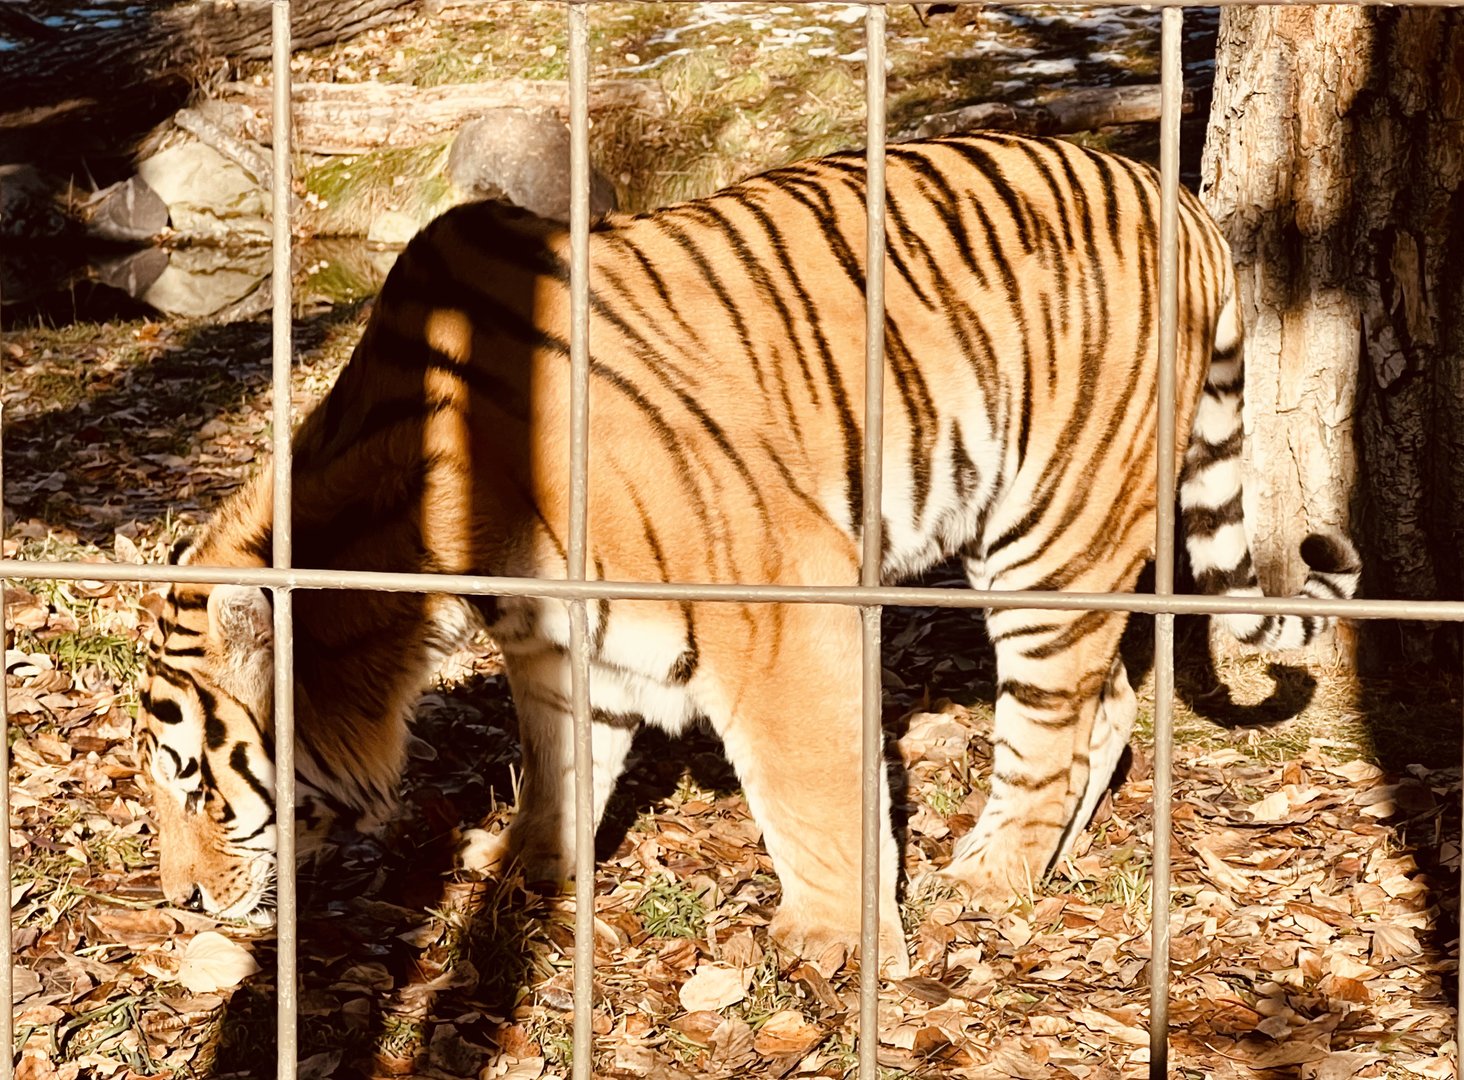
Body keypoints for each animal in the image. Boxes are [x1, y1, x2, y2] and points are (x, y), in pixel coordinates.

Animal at [138, 131, 1360, 973]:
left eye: (195, 782)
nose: (178, 903)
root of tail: (1183, 200)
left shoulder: (780, 595)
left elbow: (809, 783)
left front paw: (838, 946)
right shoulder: (571, 645)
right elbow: (562, 762)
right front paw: (525, 872)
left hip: (1048, 535)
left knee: (1060, 715)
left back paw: (993, 874)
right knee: (1107, 704)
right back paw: (1035, 857)